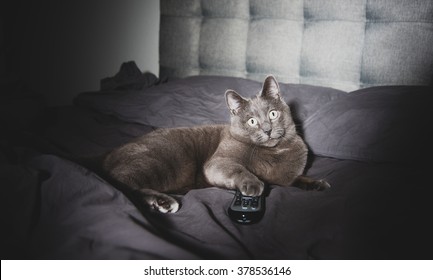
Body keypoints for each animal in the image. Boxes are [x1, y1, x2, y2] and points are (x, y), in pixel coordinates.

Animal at [99, 75, 330, 213]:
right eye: (252, 121)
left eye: (273, 114)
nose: (267, 129)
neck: (275, 152)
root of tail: (108, 155)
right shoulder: (217, 162)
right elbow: (239, 169)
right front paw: (253, 184)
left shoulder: (285, 178)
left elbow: (295, 179)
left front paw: (317, 183)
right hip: (156, 160)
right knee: (122, 183)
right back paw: (164, 202)